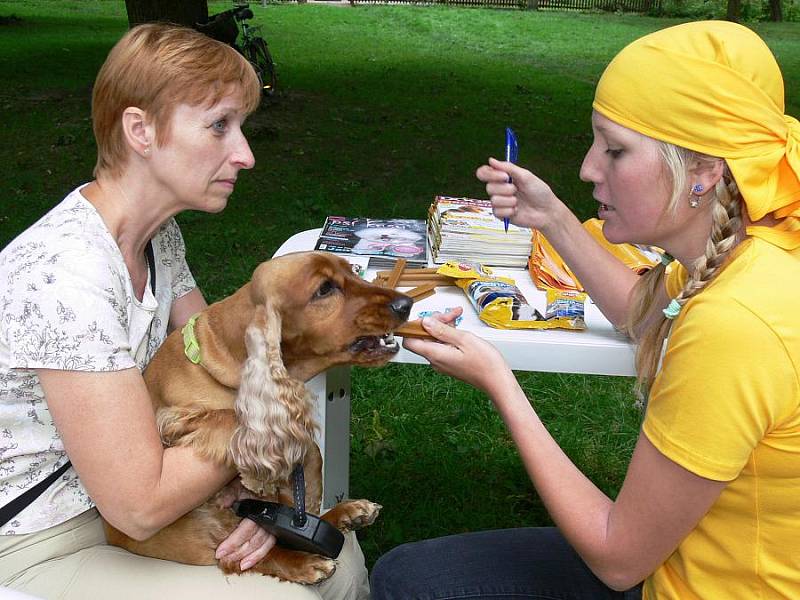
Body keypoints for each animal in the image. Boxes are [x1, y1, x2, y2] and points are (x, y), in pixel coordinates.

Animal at [103, 251, 412, 584]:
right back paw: (305, 563)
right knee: (237, 558)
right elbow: (234, 419)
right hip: (197, 525)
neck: (226, 352)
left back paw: (347, 513)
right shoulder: (174, 419)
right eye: (325, 289)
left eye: (353, 271)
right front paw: (257, 474)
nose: (406, 304)